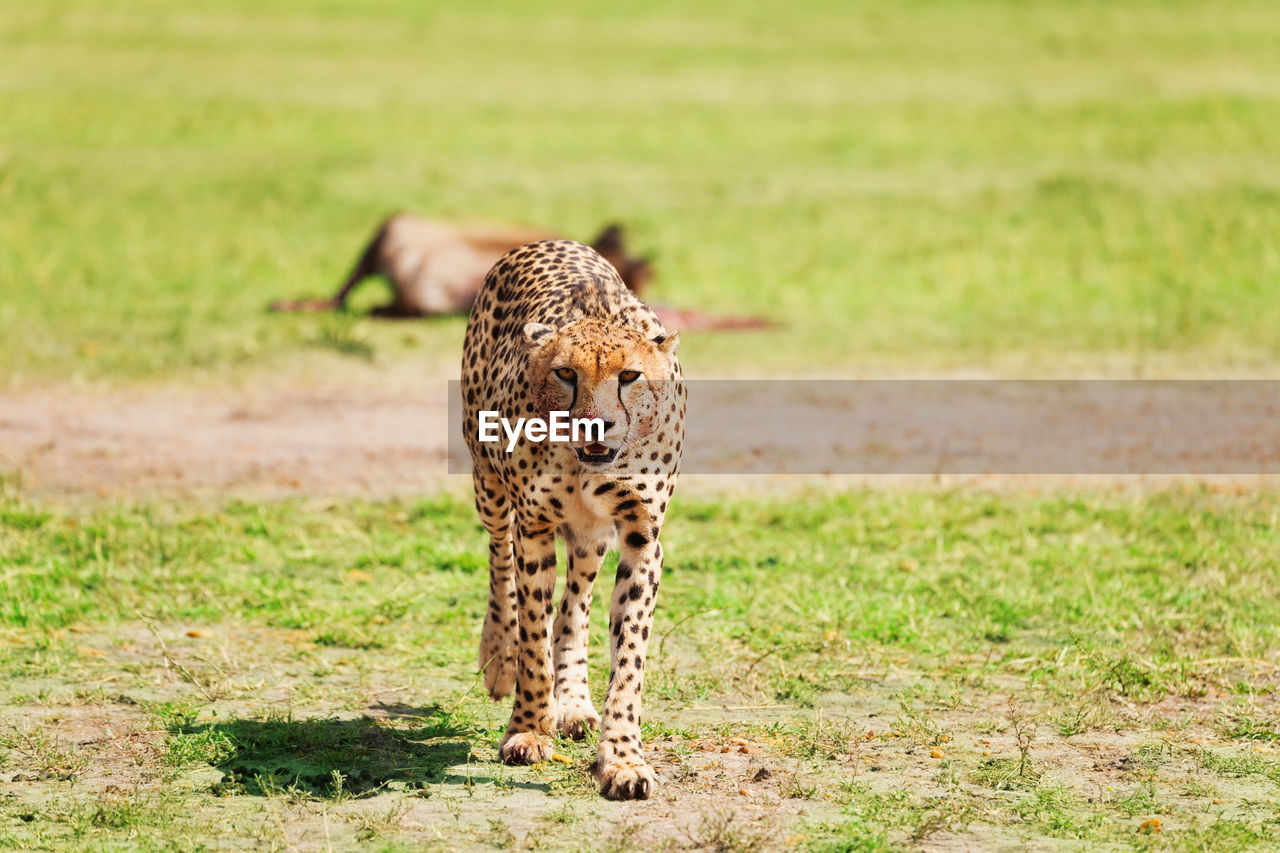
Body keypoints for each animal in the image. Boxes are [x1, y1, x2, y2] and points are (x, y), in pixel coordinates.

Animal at [458, 235, 686, 794]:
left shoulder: (641, 536)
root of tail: (548, 240)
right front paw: (526, 730)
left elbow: (628, 657)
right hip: (488, 485)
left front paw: (622, 758)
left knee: (574, 606)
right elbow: (532, 636)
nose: (593, 425)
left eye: (630, 376)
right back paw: (499, 657)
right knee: (500, 561)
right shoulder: (534, 526)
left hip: (592, 537)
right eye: (565, 373)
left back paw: (575, 703)